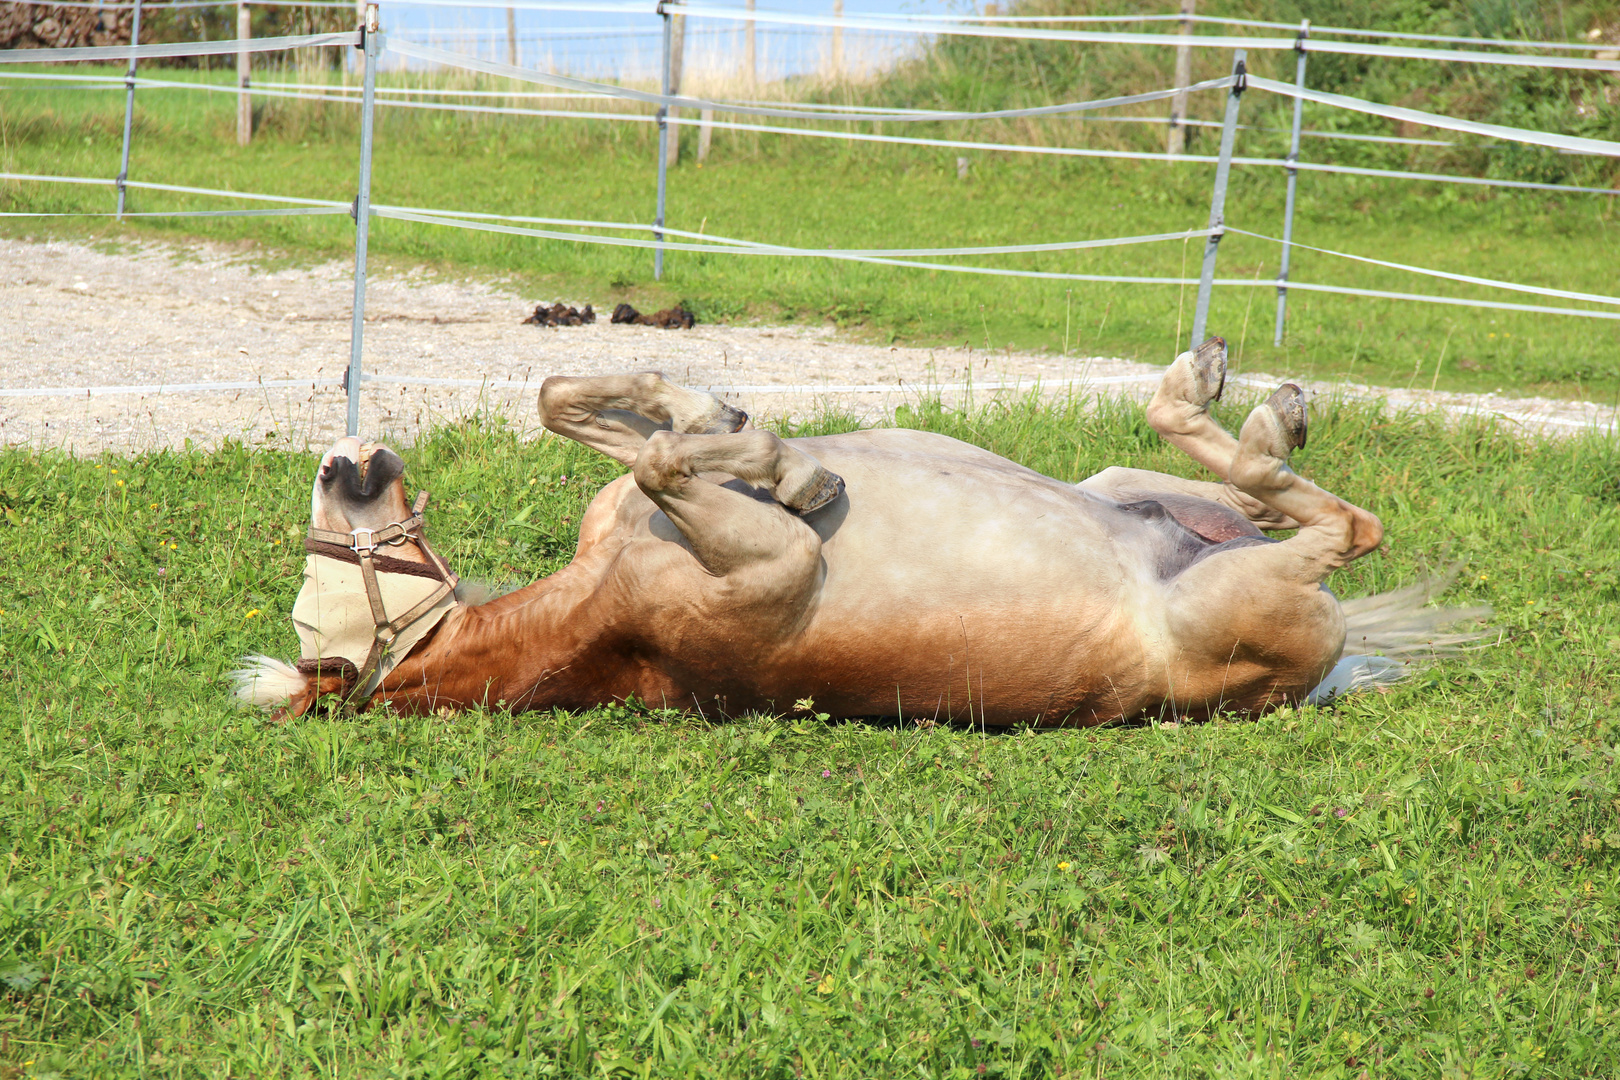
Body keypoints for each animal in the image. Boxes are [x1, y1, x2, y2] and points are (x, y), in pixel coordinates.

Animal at [234, 338, 1483, 725]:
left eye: (312, 575)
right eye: (317, 608)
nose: (343, 462)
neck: (608, 607)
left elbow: (577, 402)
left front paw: (756, 437)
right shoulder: (773, 570)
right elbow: (664, 456)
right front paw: (781, 465)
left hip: (1125, 483)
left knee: (1213, 470)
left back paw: (1237, 397)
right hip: (1242, 597)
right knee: (1346, 526)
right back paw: (1253, 412)